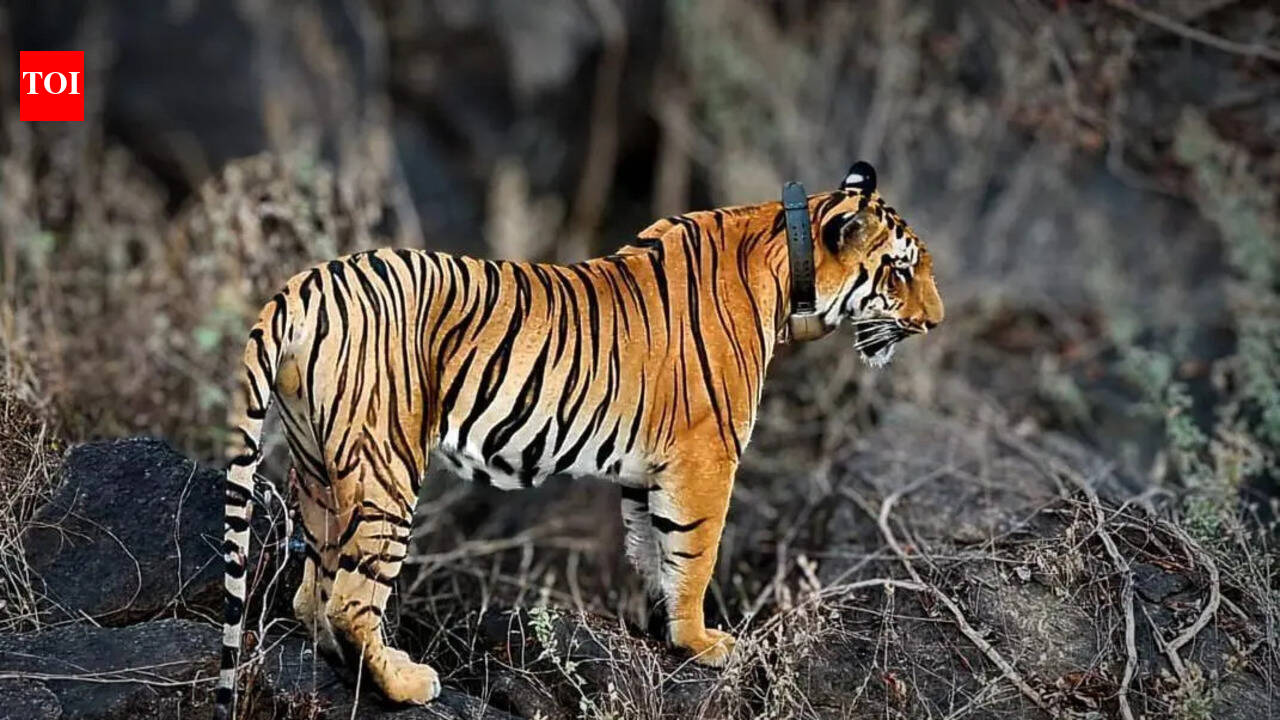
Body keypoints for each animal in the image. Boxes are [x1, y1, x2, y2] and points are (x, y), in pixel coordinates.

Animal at [214, 161, 943, 718]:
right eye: (902, 271)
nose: (936, 321)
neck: (787, 268)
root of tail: (307, 283)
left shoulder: (649, 472)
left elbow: (653, 552)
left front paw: (657, 631)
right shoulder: (705, 458)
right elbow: (695, 554)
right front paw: (702, 642)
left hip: (316, 466)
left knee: (311, 589)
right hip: (385, 467)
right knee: (350, 598)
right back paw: (406, 682)